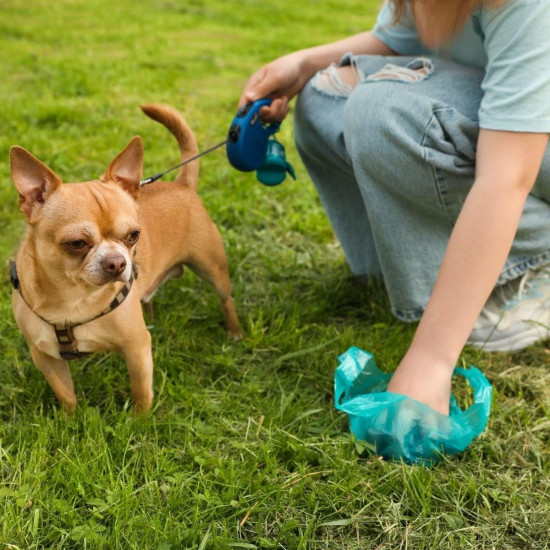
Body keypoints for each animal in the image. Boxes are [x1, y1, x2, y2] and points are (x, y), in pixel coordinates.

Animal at [9, 103, 243, 414]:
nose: (118, 262)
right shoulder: (46, 357)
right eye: (76, 243)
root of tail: (182, 184)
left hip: (212, 268)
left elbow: (141, 389)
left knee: (225, 299)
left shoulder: (137, 348)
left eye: (133, 235)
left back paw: (234, 331)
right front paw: (71, 419)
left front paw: (140, 420)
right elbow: (66, 395)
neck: (74, 299)